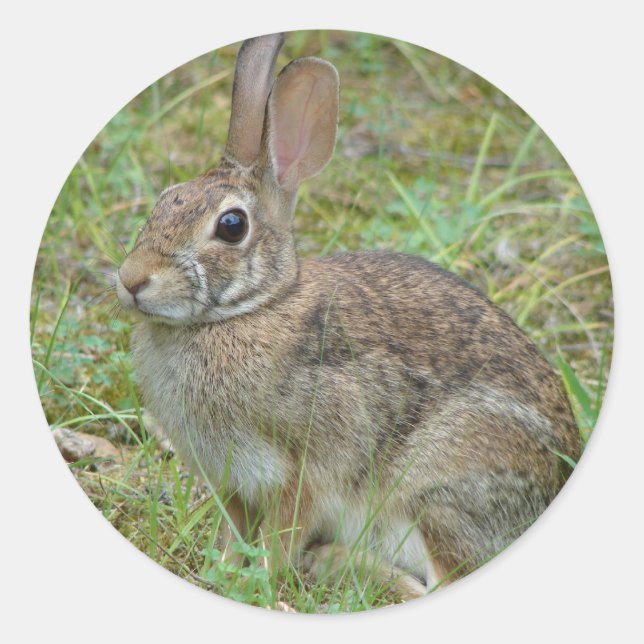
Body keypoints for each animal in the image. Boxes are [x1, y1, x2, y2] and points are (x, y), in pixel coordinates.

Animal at [116, 33, 581, 600]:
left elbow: (282, 535)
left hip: (437, 487)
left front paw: (260, 580)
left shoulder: (304, 470)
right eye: (164, 199)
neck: (251, 308)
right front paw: (218, 570)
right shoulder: (233, 483)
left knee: (433, 583)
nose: (132, 279)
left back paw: (332, 562)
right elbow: (233, 533)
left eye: (231, 226)